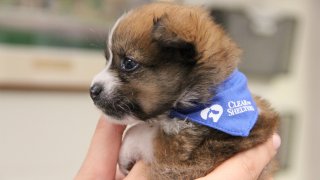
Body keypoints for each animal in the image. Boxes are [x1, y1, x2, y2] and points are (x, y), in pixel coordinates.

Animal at [90, 2, 280, 179]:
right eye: (107, 59)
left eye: (129, 63)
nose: (92, 90)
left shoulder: (187, 158)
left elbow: (144, 134)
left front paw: (125, 153)